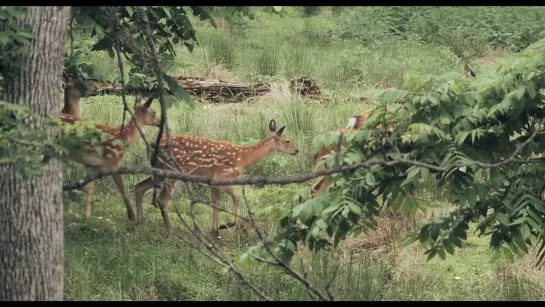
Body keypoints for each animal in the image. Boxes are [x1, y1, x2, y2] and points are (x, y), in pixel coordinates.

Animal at [134, 119, 300, 237]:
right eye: (287, 140)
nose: (296, 150)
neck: (243, 159)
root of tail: (151, 145)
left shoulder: (211, 182)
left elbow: (215, 203)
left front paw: (215, 230)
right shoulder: (222, 177)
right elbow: (236, 197)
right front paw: (226, 225)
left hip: (160, 171)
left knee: (139, 186)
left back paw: (139, 220)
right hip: (170, 171)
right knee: (161, 200)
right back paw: (170, 231)